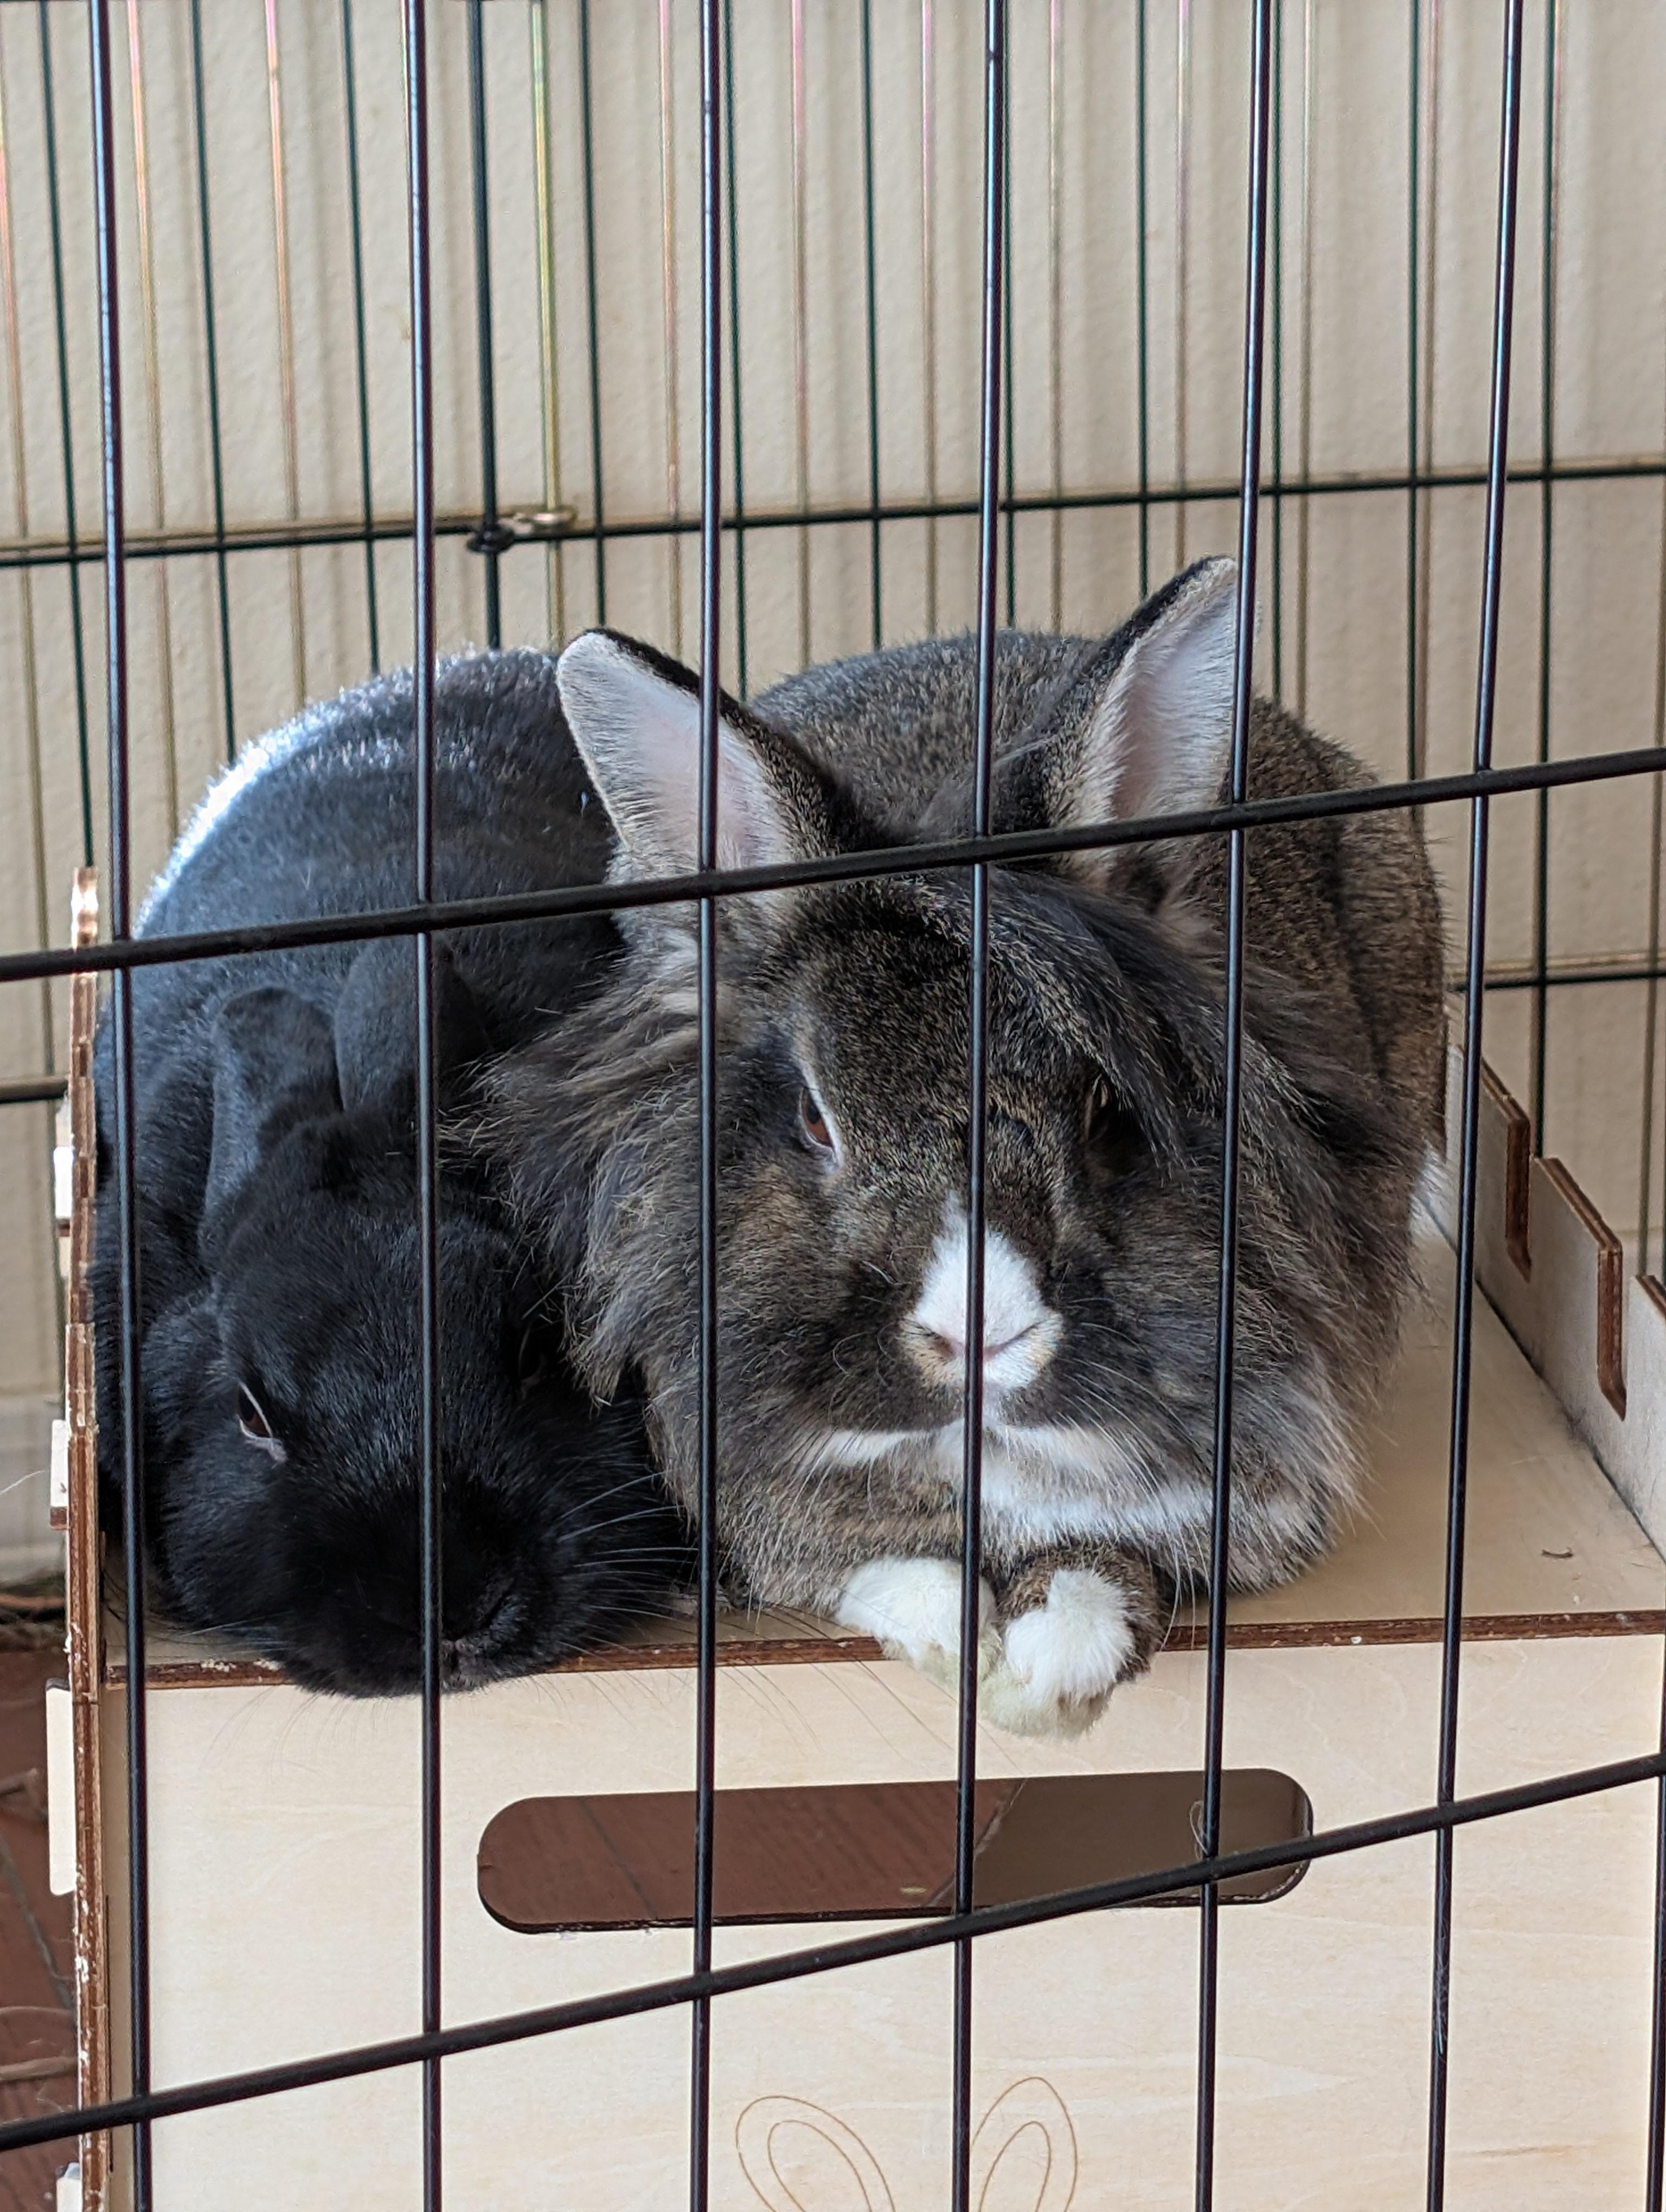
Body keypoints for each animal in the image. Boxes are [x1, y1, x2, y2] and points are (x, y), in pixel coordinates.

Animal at [486, 558, 1447, 1736]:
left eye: (1105, 1107)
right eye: (815, 1120)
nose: (976, 1332)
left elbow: (1109, 1562)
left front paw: (1047, 1675)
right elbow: (883, 1563)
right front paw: (960, 1646)